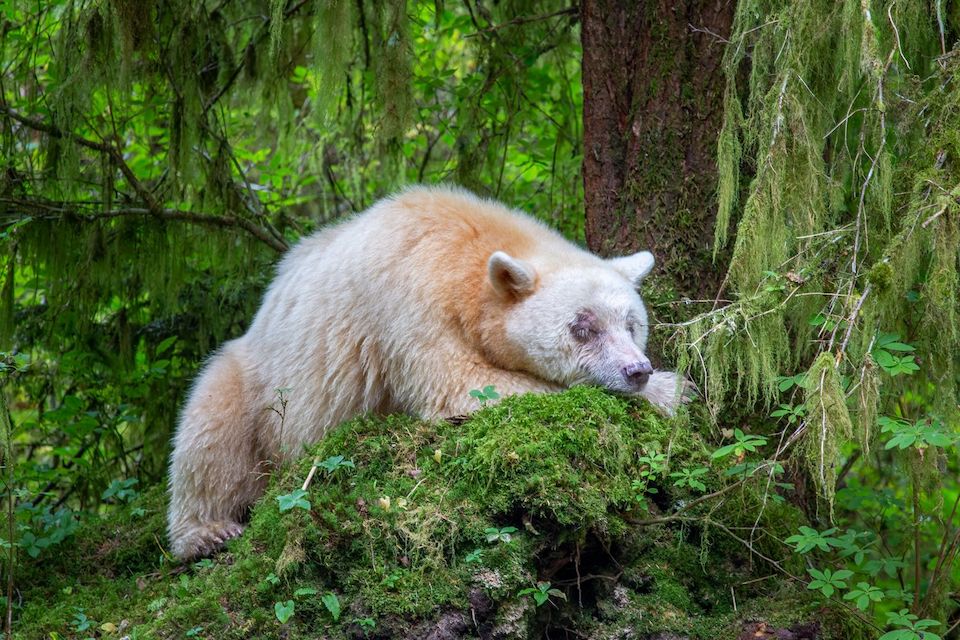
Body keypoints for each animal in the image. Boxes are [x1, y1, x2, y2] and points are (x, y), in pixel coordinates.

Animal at [167, 185, 688, 560]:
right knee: (210, 434)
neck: (466, 256)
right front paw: (673, 390)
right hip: (256, 378)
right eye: (583, 327)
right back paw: (207, 531)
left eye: (631, 323)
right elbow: (460, 385)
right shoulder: (409, 304)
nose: (637, 370)